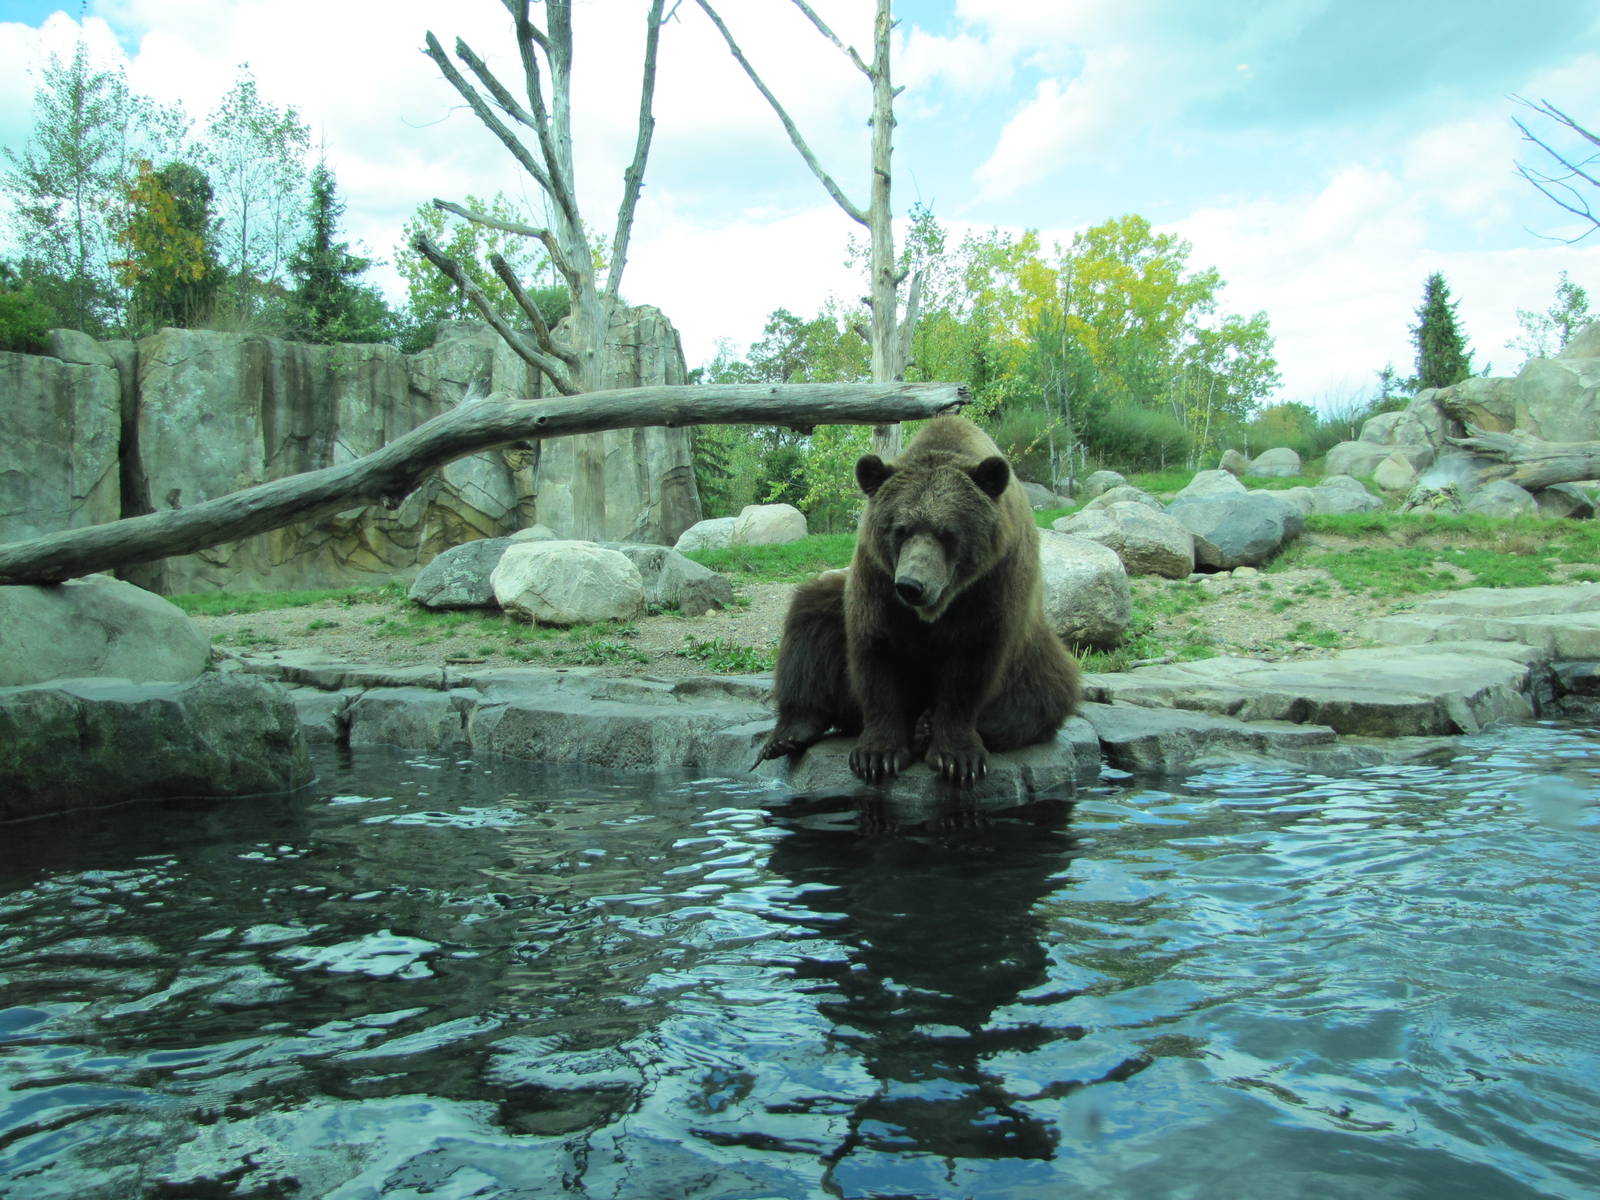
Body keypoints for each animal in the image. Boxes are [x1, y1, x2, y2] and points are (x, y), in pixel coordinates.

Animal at [757, 415, 1081, 785]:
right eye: (900, 529)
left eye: (947, 533)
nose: (912, 585)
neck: (937, 606)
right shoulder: (877, 580)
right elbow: (877, 654)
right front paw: (878, 755)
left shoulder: (992, 584)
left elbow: (971, 665)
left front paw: (958, 758)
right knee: (810, 621)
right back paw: (790, 732)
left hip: (1033, 658)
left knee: (1040, 697)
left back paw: (927, 727)